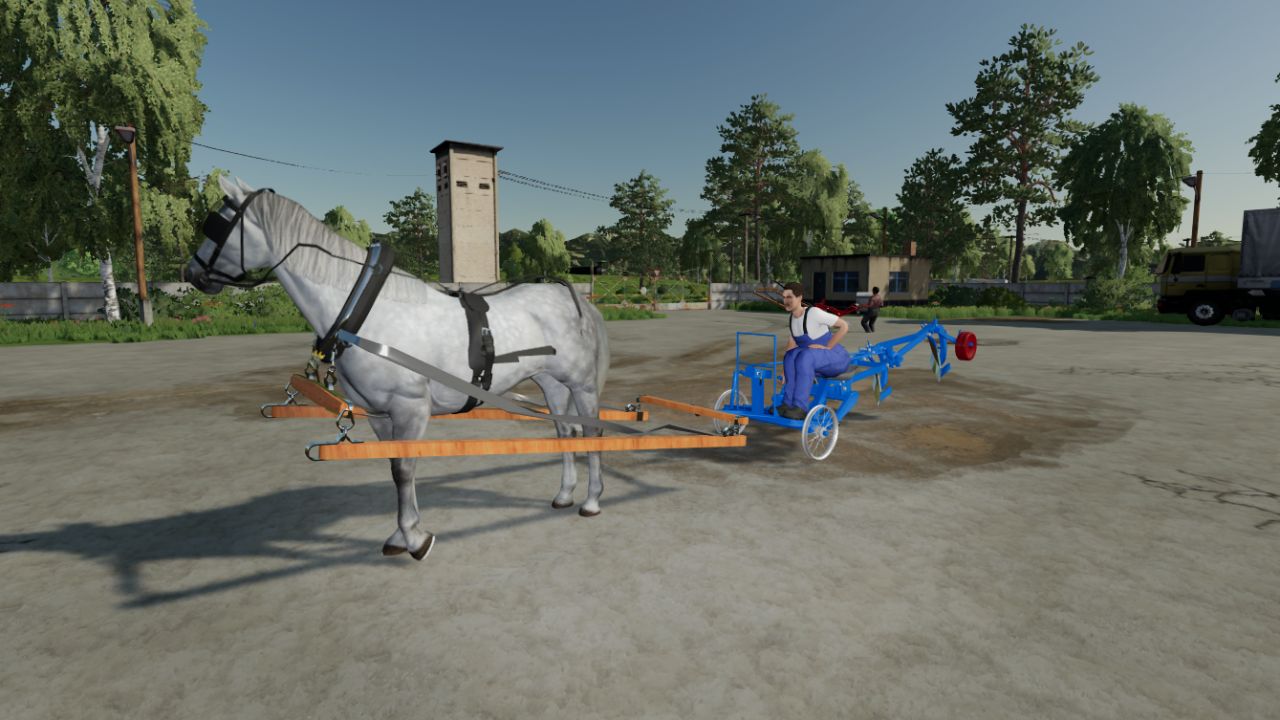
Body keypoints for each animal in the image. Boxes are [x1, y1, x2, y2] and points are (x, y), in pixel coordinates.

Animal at [185, 176, 611, 561]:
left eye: (218, 224)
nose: (191, 273)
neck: (365, 313)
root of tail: (573, 297)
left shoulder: (409, 407)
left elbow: (405, 468)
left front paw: (416, 539)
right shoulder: (380, 413)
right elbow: (394, 467)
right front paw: (401, 535)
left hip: (582, 384)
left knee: (592, 431)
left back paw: (591, 501)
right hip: (550, 382)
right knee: (565, 432)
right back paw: (564, 494)